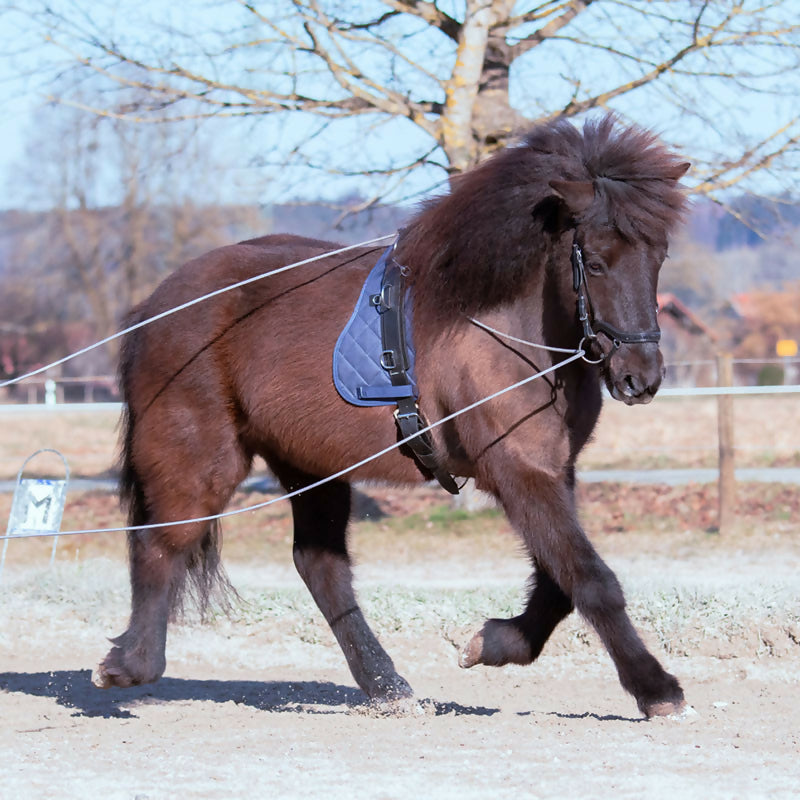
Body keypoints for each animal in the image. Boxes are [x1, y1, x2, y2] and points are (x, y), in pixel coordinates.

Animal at [92, 114, 692, 720]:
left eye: (659, 256)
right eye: (595, 260)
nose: (640, 378)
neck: (507, 328)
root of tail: (155, 307)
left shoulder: (552, 470)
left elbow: (559, 580)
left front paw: (495, 642)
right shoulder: (517, 471)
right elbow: (590, 578)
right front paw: (656, 688)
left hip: (311, 467)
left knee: (319, 566)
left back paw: (385, 685)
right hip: (196, 456)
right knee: (161, 543)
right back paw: (129, 664)